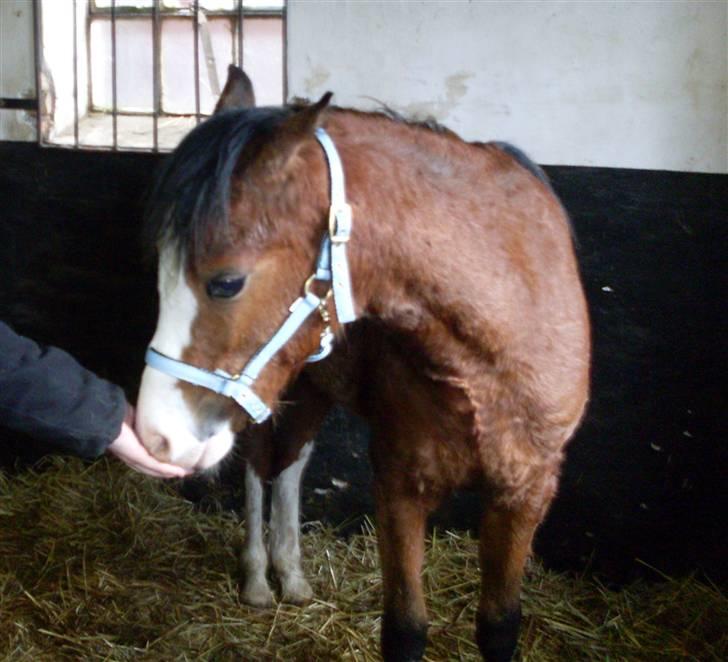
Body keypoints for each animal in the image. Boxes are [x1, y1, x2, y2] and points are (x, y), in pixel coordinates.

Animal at [136, 68, 592, 662]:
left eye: (227, 282)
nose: (155, 436)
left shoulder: (525, 492)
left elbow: (499, 625)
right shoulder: (399, 483)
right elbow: (404, 628)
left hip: (311, 387)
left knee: (291, 461)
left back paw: (292, 574)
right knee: (261, 465)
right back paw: (259, 578)